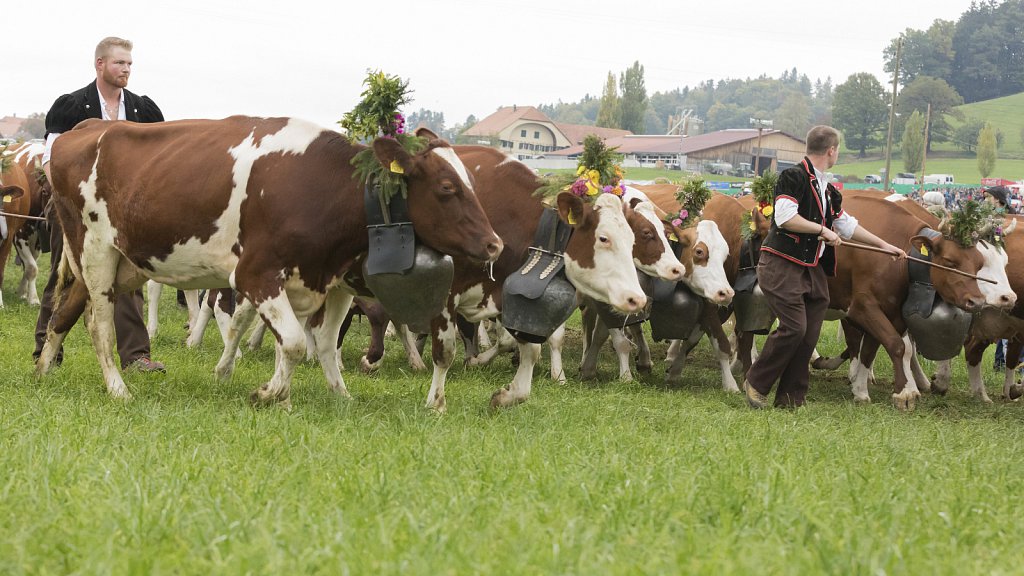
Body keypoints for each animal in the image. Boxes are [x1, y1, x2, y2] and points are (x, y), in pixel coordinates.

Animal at [40, 116, 503, 403]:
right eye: (447, 189)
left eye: (470, 181)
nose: (494, 244)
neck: (321, 184)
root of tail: (87, 127)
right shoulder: (255, 275)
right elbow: (296, 343)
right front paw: (267, 394)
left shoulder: (321, 278)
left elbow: (315, 344)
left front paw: (328, 396)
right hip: (95, 251)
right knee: (99, 326)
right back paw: (118, 389)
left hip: (118, 263)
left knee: (64, 312)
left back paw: (42, 369)